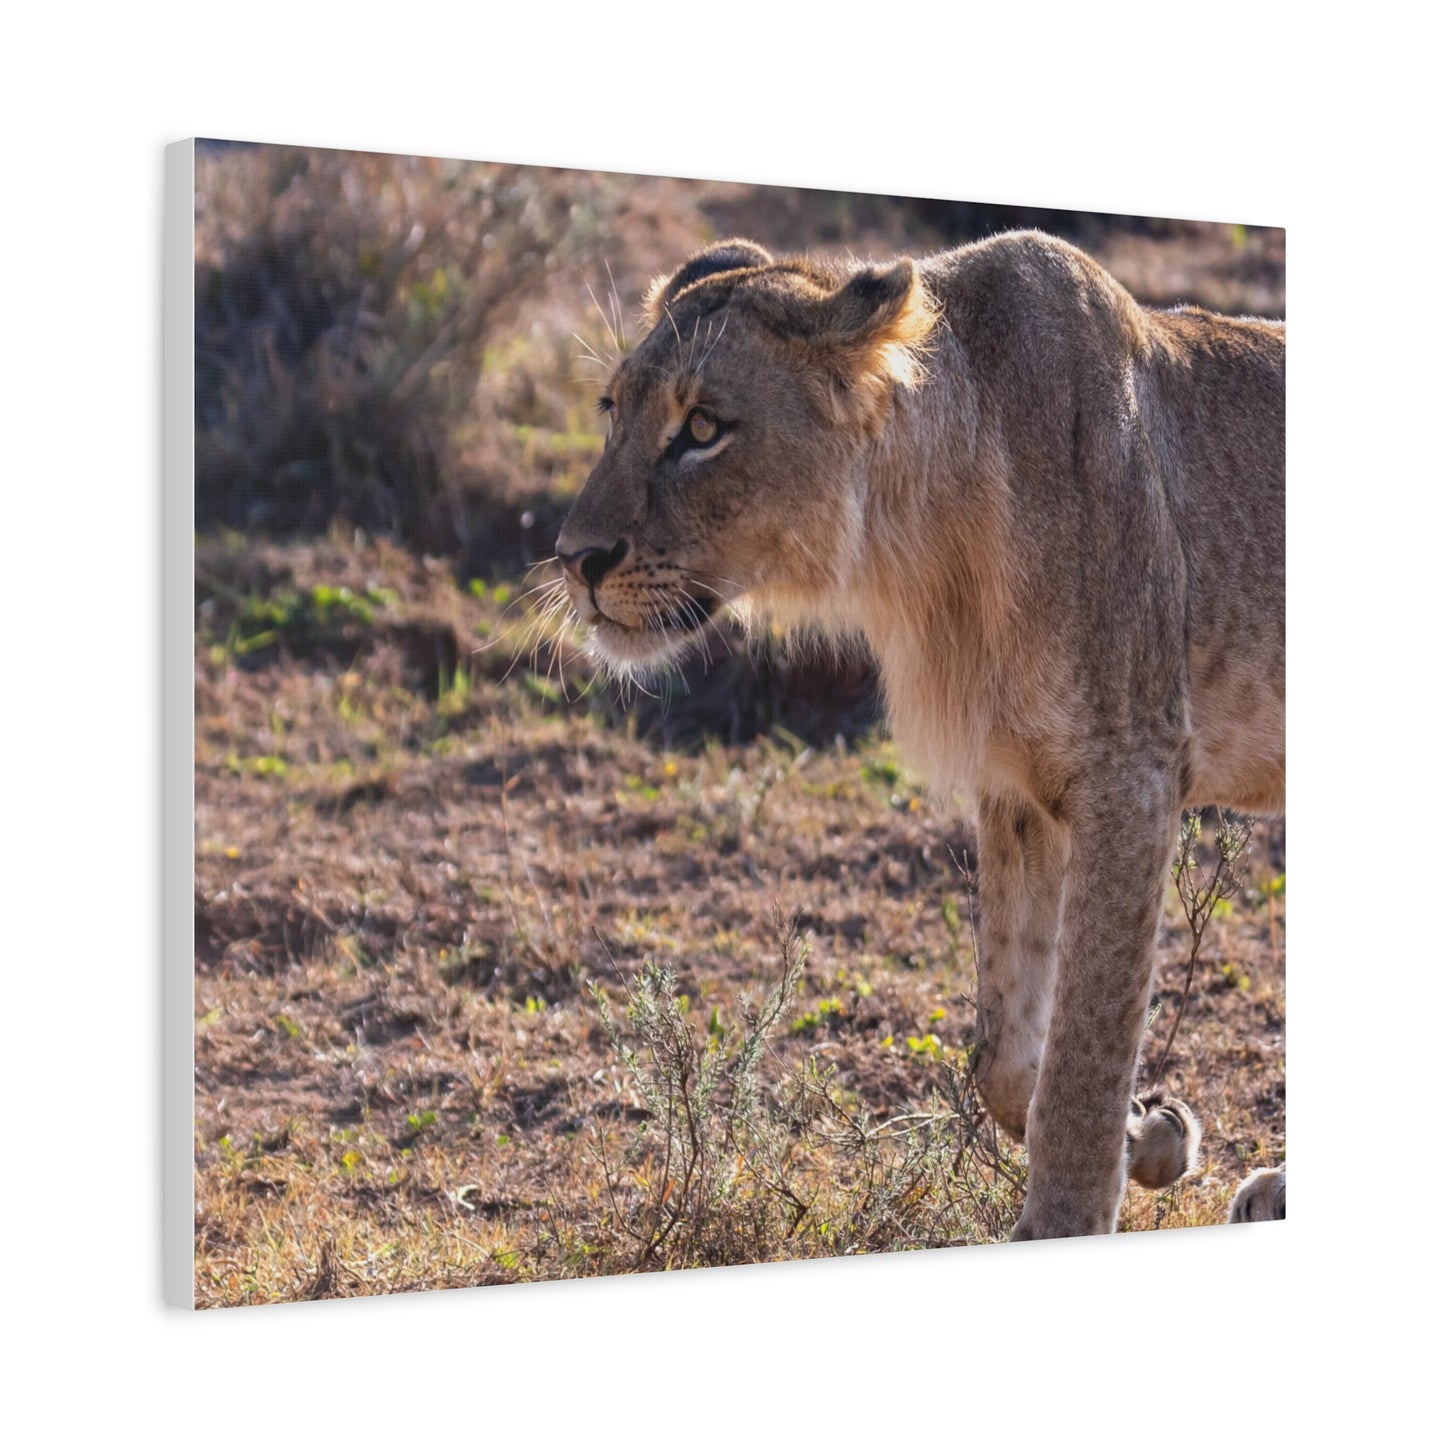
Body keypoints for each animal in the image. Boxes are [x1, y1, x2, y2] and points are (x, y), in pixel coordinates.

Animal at [554, 230, 1284, 1240]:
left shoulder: (1131, 772)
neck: (922, 551)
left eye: (702, 428)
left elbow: (1084, 1054)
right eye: (611, 410)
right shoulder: (1017, 787)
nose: (573, 558)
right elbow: (1007, 1055)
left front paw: (1066, 1215)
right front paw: (1154, 1135)